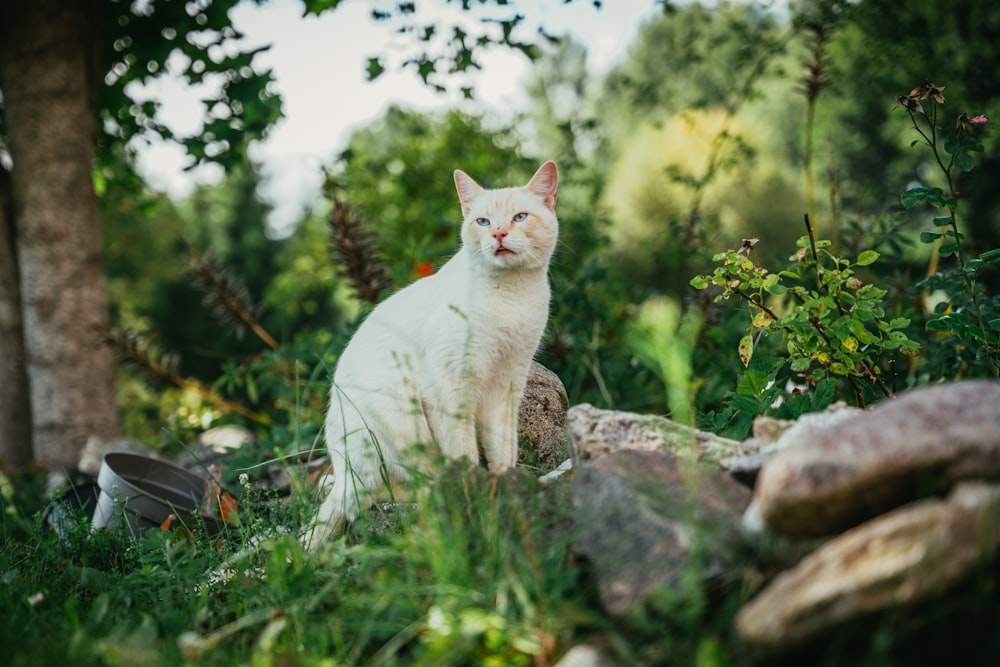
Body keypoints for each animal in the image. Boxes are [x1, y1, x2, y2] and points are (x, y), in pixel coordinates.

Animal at [304, 160, 560, 548]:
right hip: (403, 423)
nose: (499, 234)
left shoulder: (506, 387)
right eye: (483, 222)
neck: (511, 295)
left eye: (519, 217)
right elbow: (465, 454)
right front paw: (477, 497)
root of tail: (343, 467)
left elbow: (503, 451)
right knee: (404, 491)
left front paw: (507, 486)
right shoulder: (449, 387)